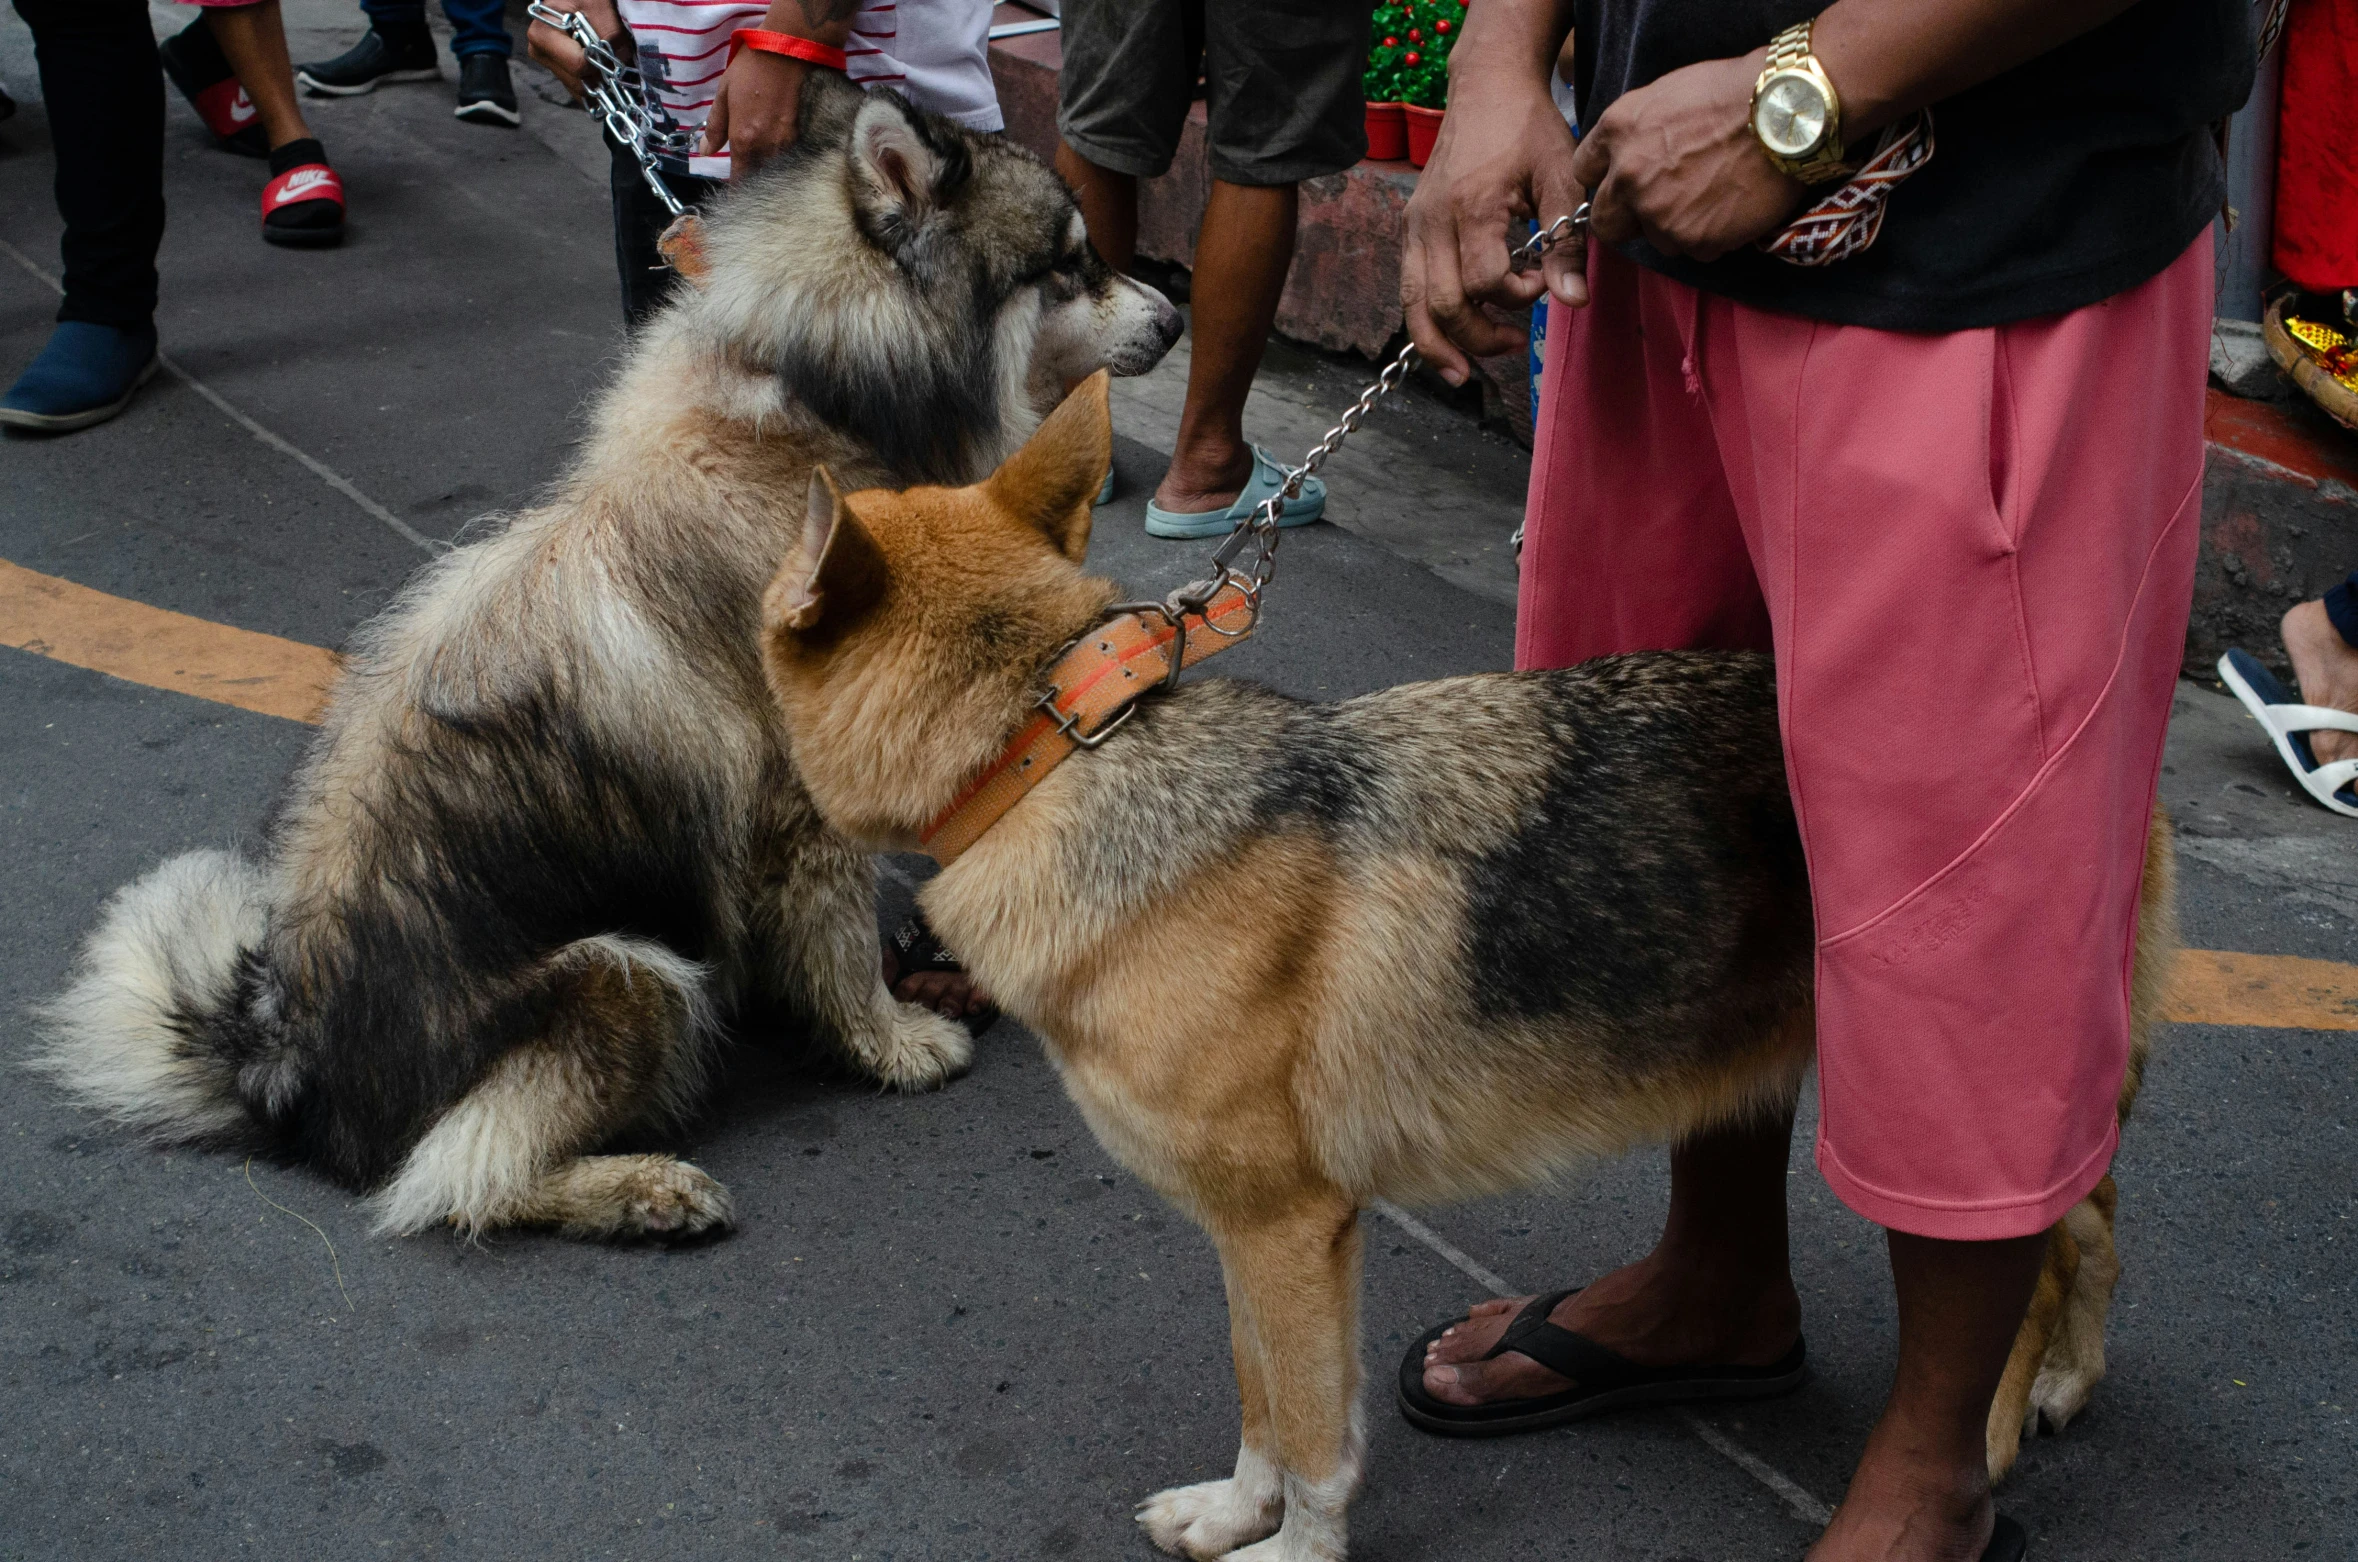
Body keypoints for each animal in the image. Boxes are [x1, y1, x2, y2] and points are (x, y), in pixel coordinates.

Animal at [759, 382, 2169, 1562]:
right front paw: (1233, 1513)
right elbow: (1260, 1401)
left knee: (2035, 1250)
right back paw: (2066, 1379)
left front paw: (1296, 1554)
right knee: (2095, 1216)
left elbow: (1316, 1441)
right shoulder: (1249, 1233)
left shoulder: (1293, 1227)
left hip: (1928, 1101)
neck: (1054, 753)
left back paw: (2000, 1427)